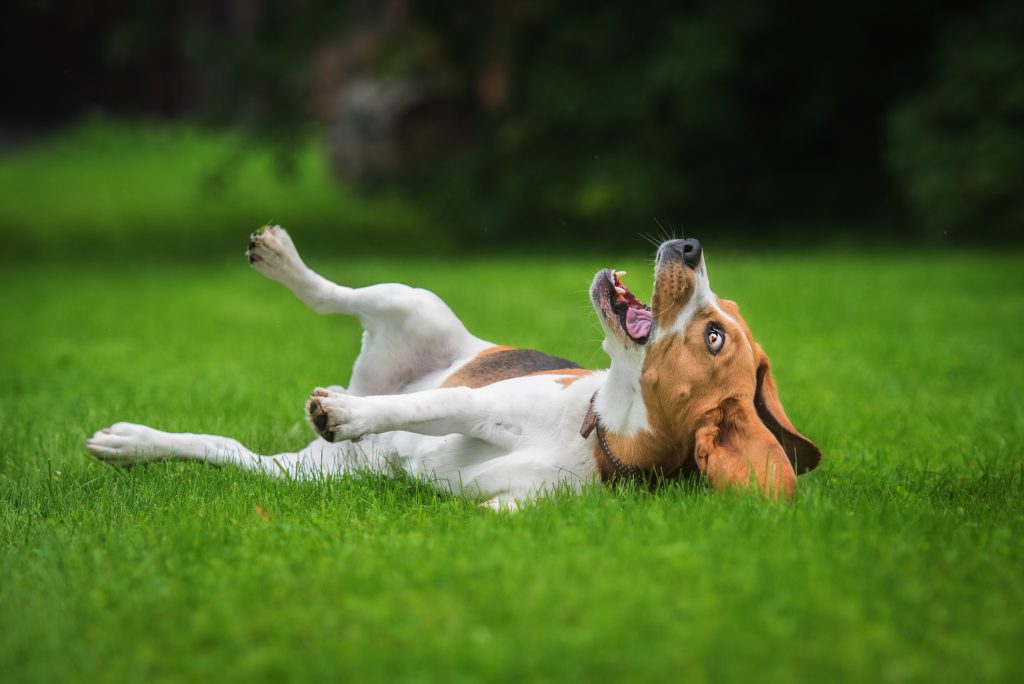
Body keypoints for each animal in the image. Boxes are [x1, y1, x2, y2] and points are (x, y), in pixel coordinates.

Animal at [88, 227, 823, 505]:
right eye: (723, 318)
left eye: (713, 337)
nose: (692, 246)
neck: (596, 430)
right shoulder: (480, 404)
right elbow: (429, 407)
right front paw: (350, 411)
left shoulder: (515, 504)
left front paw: (346, 414)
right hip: (417, 303)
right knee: (333, 296)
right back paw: (282, 260)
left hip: (301, 474)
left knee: (224, 449)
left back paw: (132, 444)